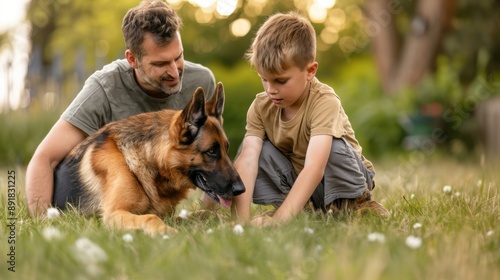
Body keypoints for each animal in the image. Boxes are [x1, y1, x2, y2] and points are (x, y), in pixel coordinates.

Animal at [52, 82, 244, 234]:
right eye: (211, 151)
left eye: (226, 149)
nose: (241, 190)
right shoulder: (114, 214)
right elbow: (150, 218)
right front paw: (169, 233)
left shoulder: (169, 215)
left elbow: (206, 213)